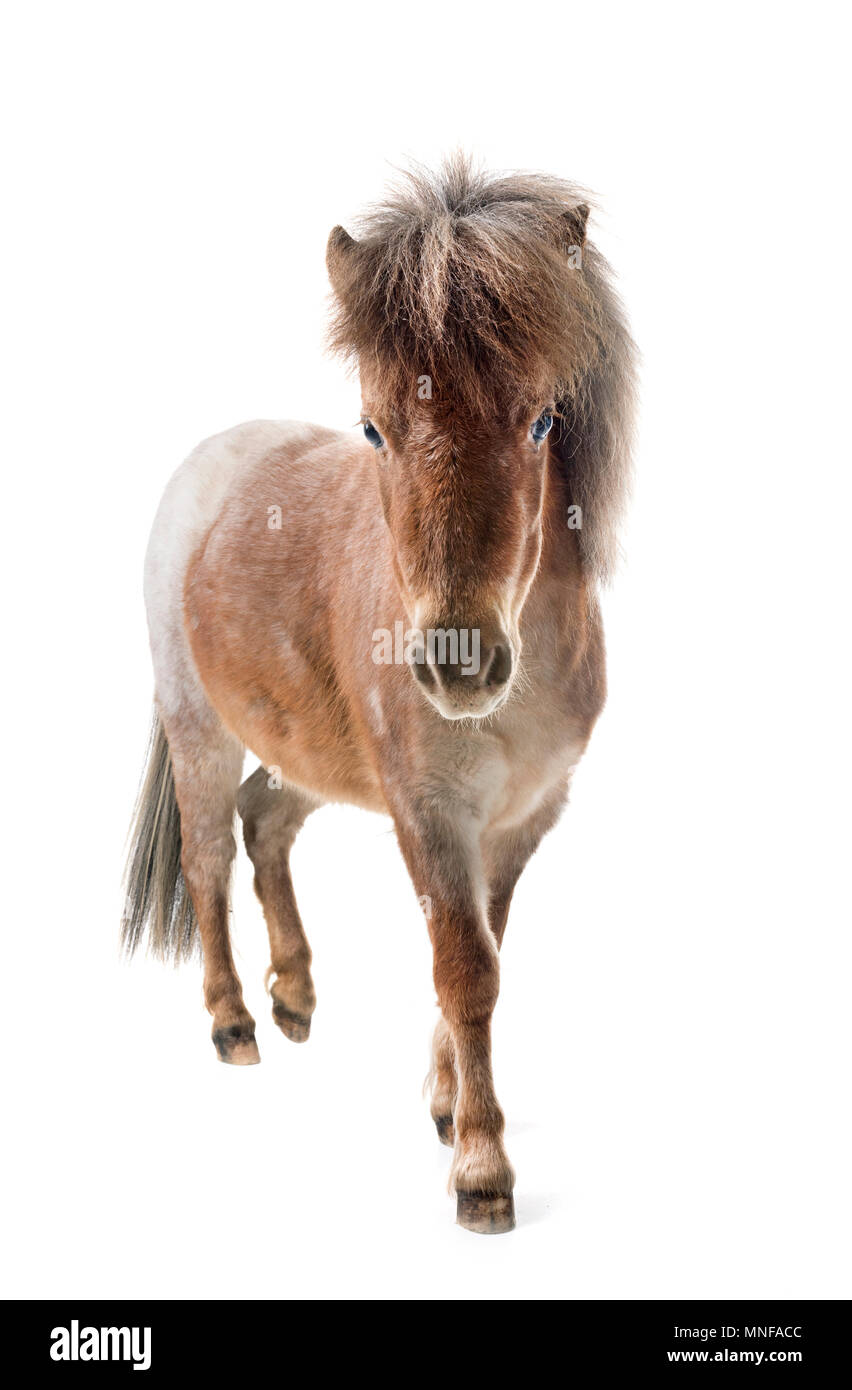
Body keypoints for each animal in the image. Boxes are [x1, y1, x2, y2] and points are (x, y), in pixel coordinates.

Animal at [123, 157, 633, 1234]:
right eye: (373, 428)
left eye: (540, 420)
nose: (457, 664)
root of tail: (210, 464)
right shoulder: (429, 811)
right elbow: (465, 968)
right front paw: (481, 1169)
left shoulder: (521, 819)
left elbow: (487, 954)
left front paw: (445, 1107)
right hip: (199, 726)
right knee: (206, 853)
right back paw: (234, 1022)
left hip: (311, 755)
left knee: (264, 821)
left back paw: (294, 996)